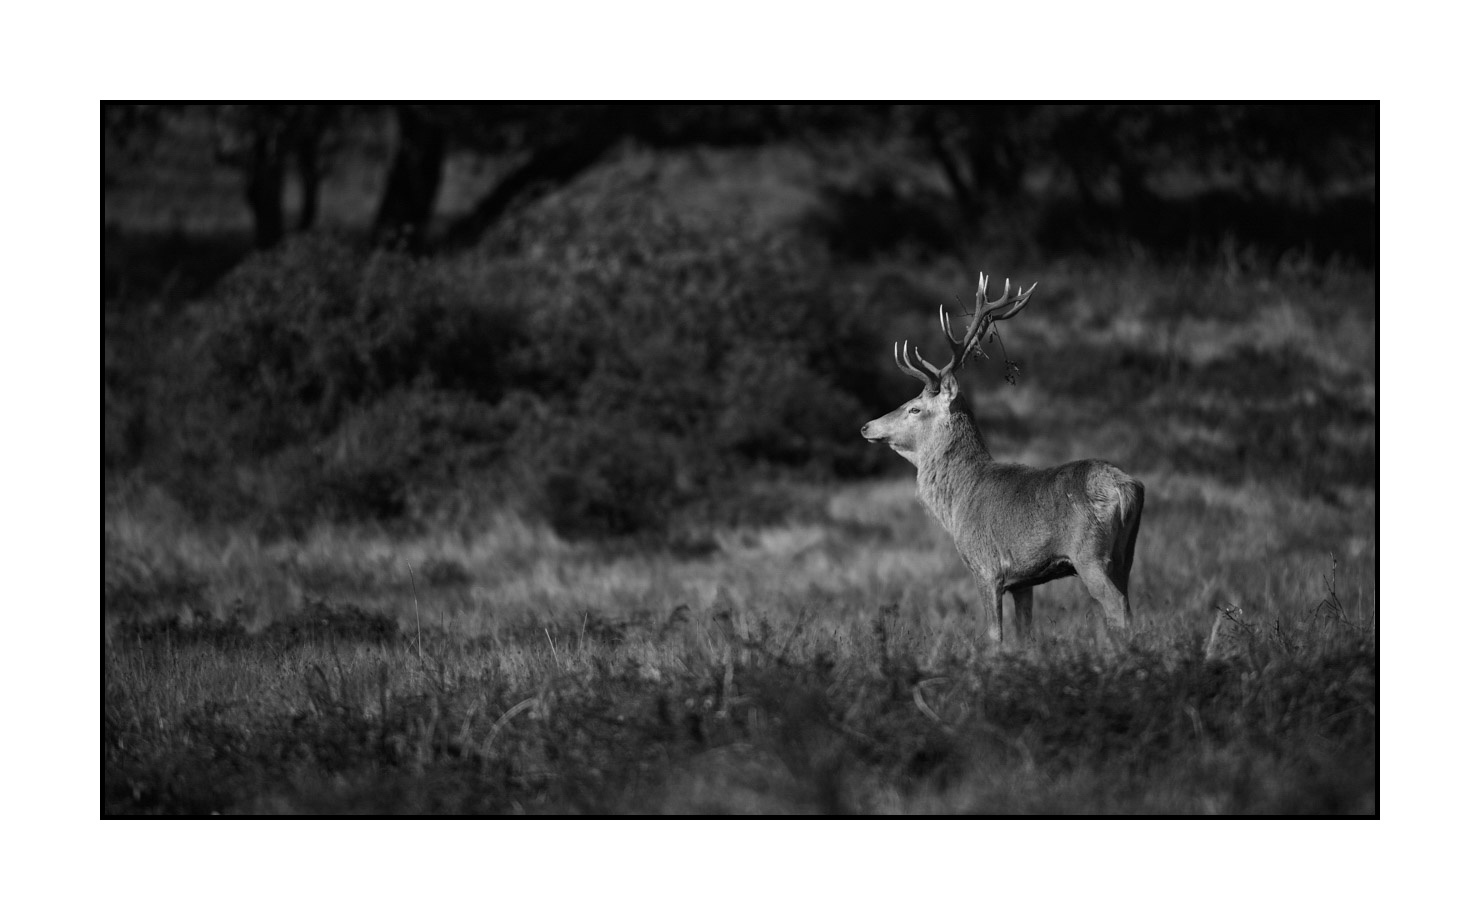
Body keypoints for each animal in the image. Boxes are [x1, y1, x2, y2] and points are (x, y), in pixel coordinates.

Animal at [860, 272, 1144, 646]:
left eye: (914, 408)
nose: (866, 426)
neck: (958, 501)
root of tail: (1127, 488)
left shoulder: (985, 566)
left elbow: (995, 636)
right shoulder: (1024, 580)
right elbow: (1024, 636)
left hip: (1090, 554)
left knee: (1118, 608)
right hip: (1126, 553)